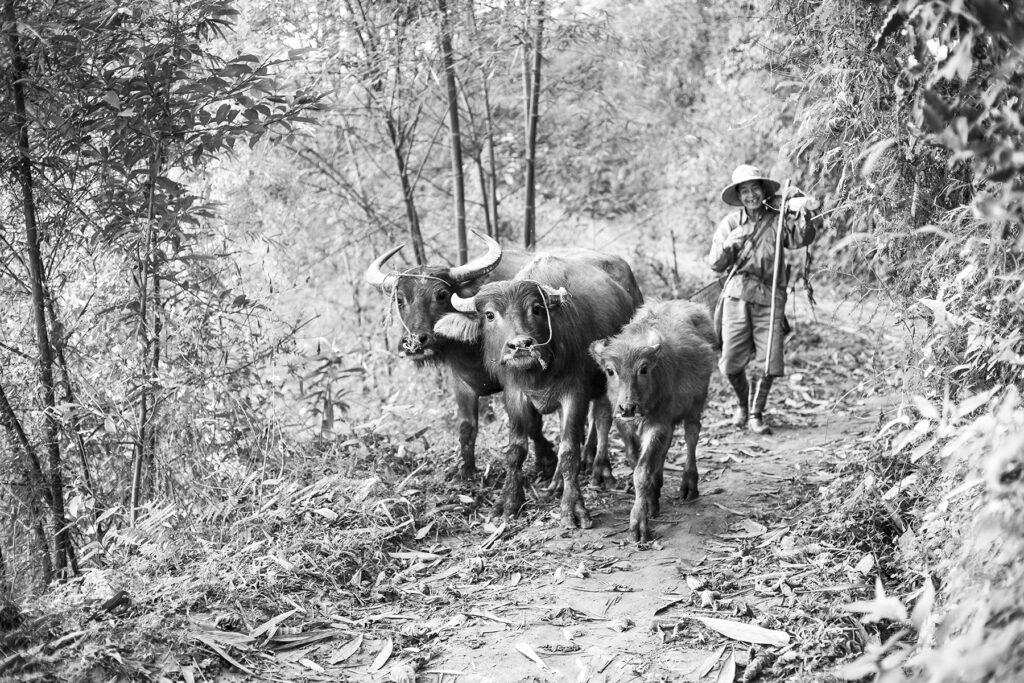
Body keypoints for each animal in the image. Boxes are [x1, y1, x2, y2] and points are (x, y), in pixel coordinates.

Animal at [366, 232, 638, 483]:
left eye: (441, 294)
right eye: (400, 299)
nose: (414, 343)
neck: (472, 350)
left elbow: (533, 424)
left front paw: (546, 461)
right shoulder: (461, 383)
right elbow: (467, 427)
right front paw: (464, 471)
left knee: (601, 412)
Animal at [440, 255, 638, 528]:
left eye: (535, 309)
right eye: (490, 315)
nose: (521, 345)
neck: (538, 372)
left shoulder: (574, 393)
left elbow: (569, 450)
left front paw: (572, 508)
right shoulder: (514, 393)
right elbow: (516, 450)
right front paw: (509, 502)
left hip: (607, 381)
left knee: (602, 419)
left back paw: (602, 471)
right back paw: (555, 483)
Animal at [589, 301, 716, 540]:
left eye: (644, 369)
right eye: (610, 370)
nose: (628, 407)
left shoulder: (658, 423)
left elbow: (642, 471)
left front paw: (639, 520)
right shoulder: (625, 424)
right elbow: (635, 459)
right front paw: (650, 501)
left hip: (695, 403)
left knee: (692, 435)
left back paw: (689, 485)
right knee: (664, 450)